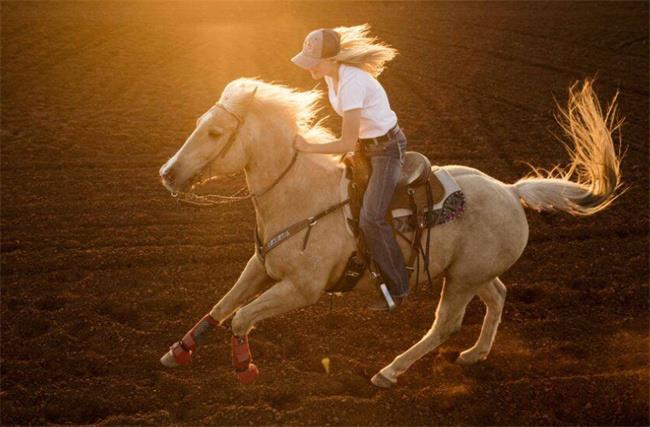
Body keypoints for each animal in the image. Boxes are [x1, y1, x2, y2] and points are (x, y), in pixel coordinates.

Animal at [158, 77, 624, 388]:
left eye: (215, 132)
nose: (168, 173)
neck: (302, 195)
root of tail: (511, 191)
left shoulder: (302, 288)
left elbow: (241, 317)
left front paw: (243, 367)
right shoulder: (261, 265)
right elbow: (222, 306)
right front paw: (176, 352)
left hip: (461, 280)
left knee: (446, 324)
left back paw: (389, 371)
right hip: (471, 273)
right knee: (498, 296)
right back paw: (476, 354)